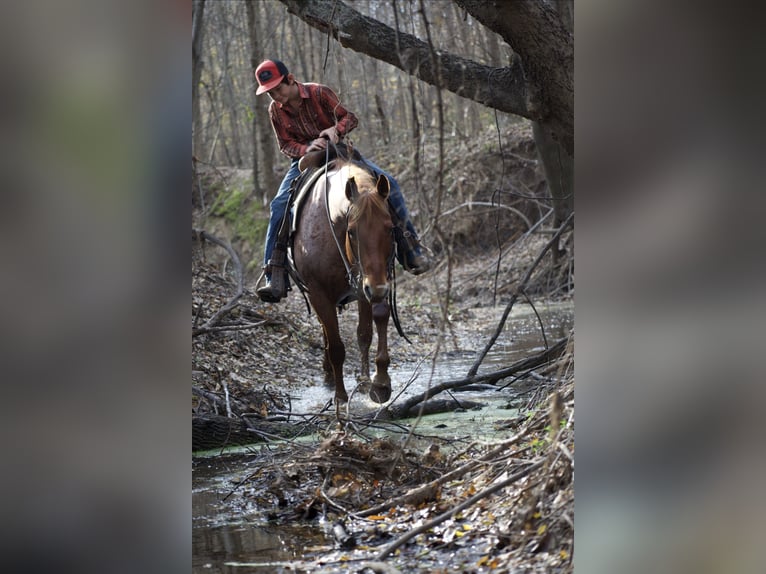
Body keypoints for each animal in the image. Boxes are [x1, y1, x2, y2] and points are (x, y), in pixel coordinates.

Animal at [290, 159, 396, 405]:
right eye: (352, 231)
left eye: (390, 228)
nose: (377, 289)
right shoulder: (319, 293)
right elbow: (336, 346)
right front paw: (340, 396)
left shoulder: (372, 282)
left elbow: (370, 328)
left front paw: (379, 382)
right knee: (328, 334)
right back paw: (330, 377)